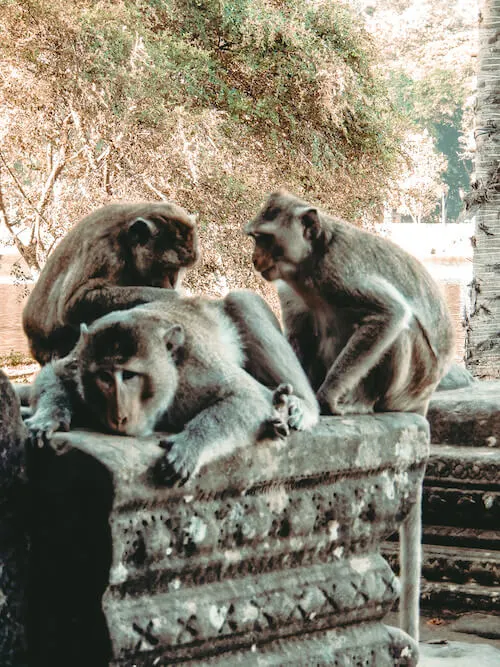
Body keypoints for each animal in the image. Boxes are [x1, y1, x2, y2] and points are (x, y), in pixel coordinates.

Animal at [22, 201, 199, 366]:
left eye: (175, 272)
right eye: (165, 269)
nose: (169, 284)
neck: (126, 243)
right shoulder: (105, 251)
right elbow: (71, 306)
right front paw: (175, 297)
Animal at [25, 298, 318, 486]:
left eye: (129, 375)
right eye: (104, 377)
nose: (119, 416)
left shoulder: (196, 370)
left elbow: (248, 397)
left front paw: (191, 444)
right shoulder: (79, 361)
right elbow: (55, 373)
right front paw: (48, 418)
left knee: (240, 301)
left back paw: (296, 405)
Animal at [246, 188, 458, 640]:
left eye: (266, 239)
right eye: (255, 238)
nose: (255, 259)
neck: (309, 267)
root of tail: (426, 394)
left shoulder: (339, 272)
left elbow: (387, 314)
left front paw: (323, 401)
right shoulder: (291, 289)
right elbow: (299, 334)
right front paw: (293, 400)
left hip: (410, 378)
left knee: (400, 326)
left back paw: (352, 403)